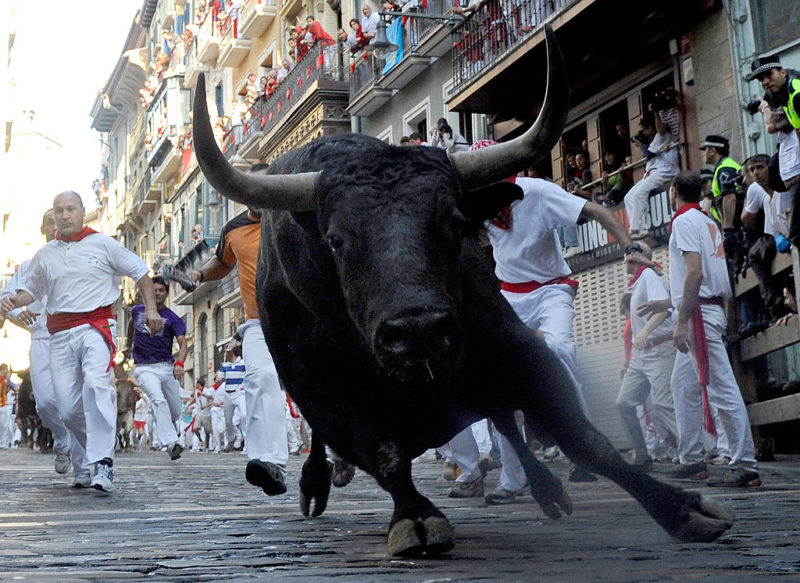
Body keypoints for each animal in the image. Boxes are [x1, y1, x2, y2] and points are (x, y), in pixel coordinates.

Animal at [192, 26, 732, 556]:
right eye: (336, 240)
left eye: (455, 223)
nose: (419, 331)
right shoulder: (323, 394)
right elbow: (384, 453)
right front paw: (416, 516)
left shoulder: (516, 348)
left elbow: (582, 437)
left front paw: (683, 508)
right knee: (335, 445)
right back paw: (316, 483)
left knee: (506, 423)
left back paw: (546, 489)